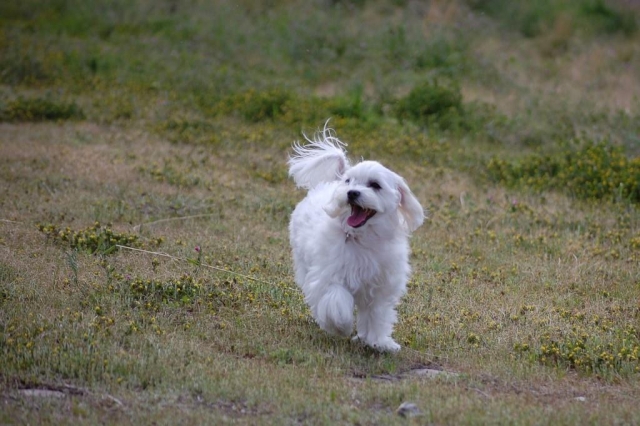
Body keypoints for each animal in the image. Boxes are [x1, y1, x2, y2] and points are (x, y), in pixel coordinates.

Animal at [288, 125, 422, 352]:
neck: (362, 238)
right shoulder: (330, 275)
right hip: (305, 264)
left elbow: (377, 315)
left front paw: (379, 342)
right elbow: (336, 301)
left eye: (375, 185)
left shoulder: (380, 286)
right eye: (349, 181)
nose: (351, 192)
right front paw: (341, 326)